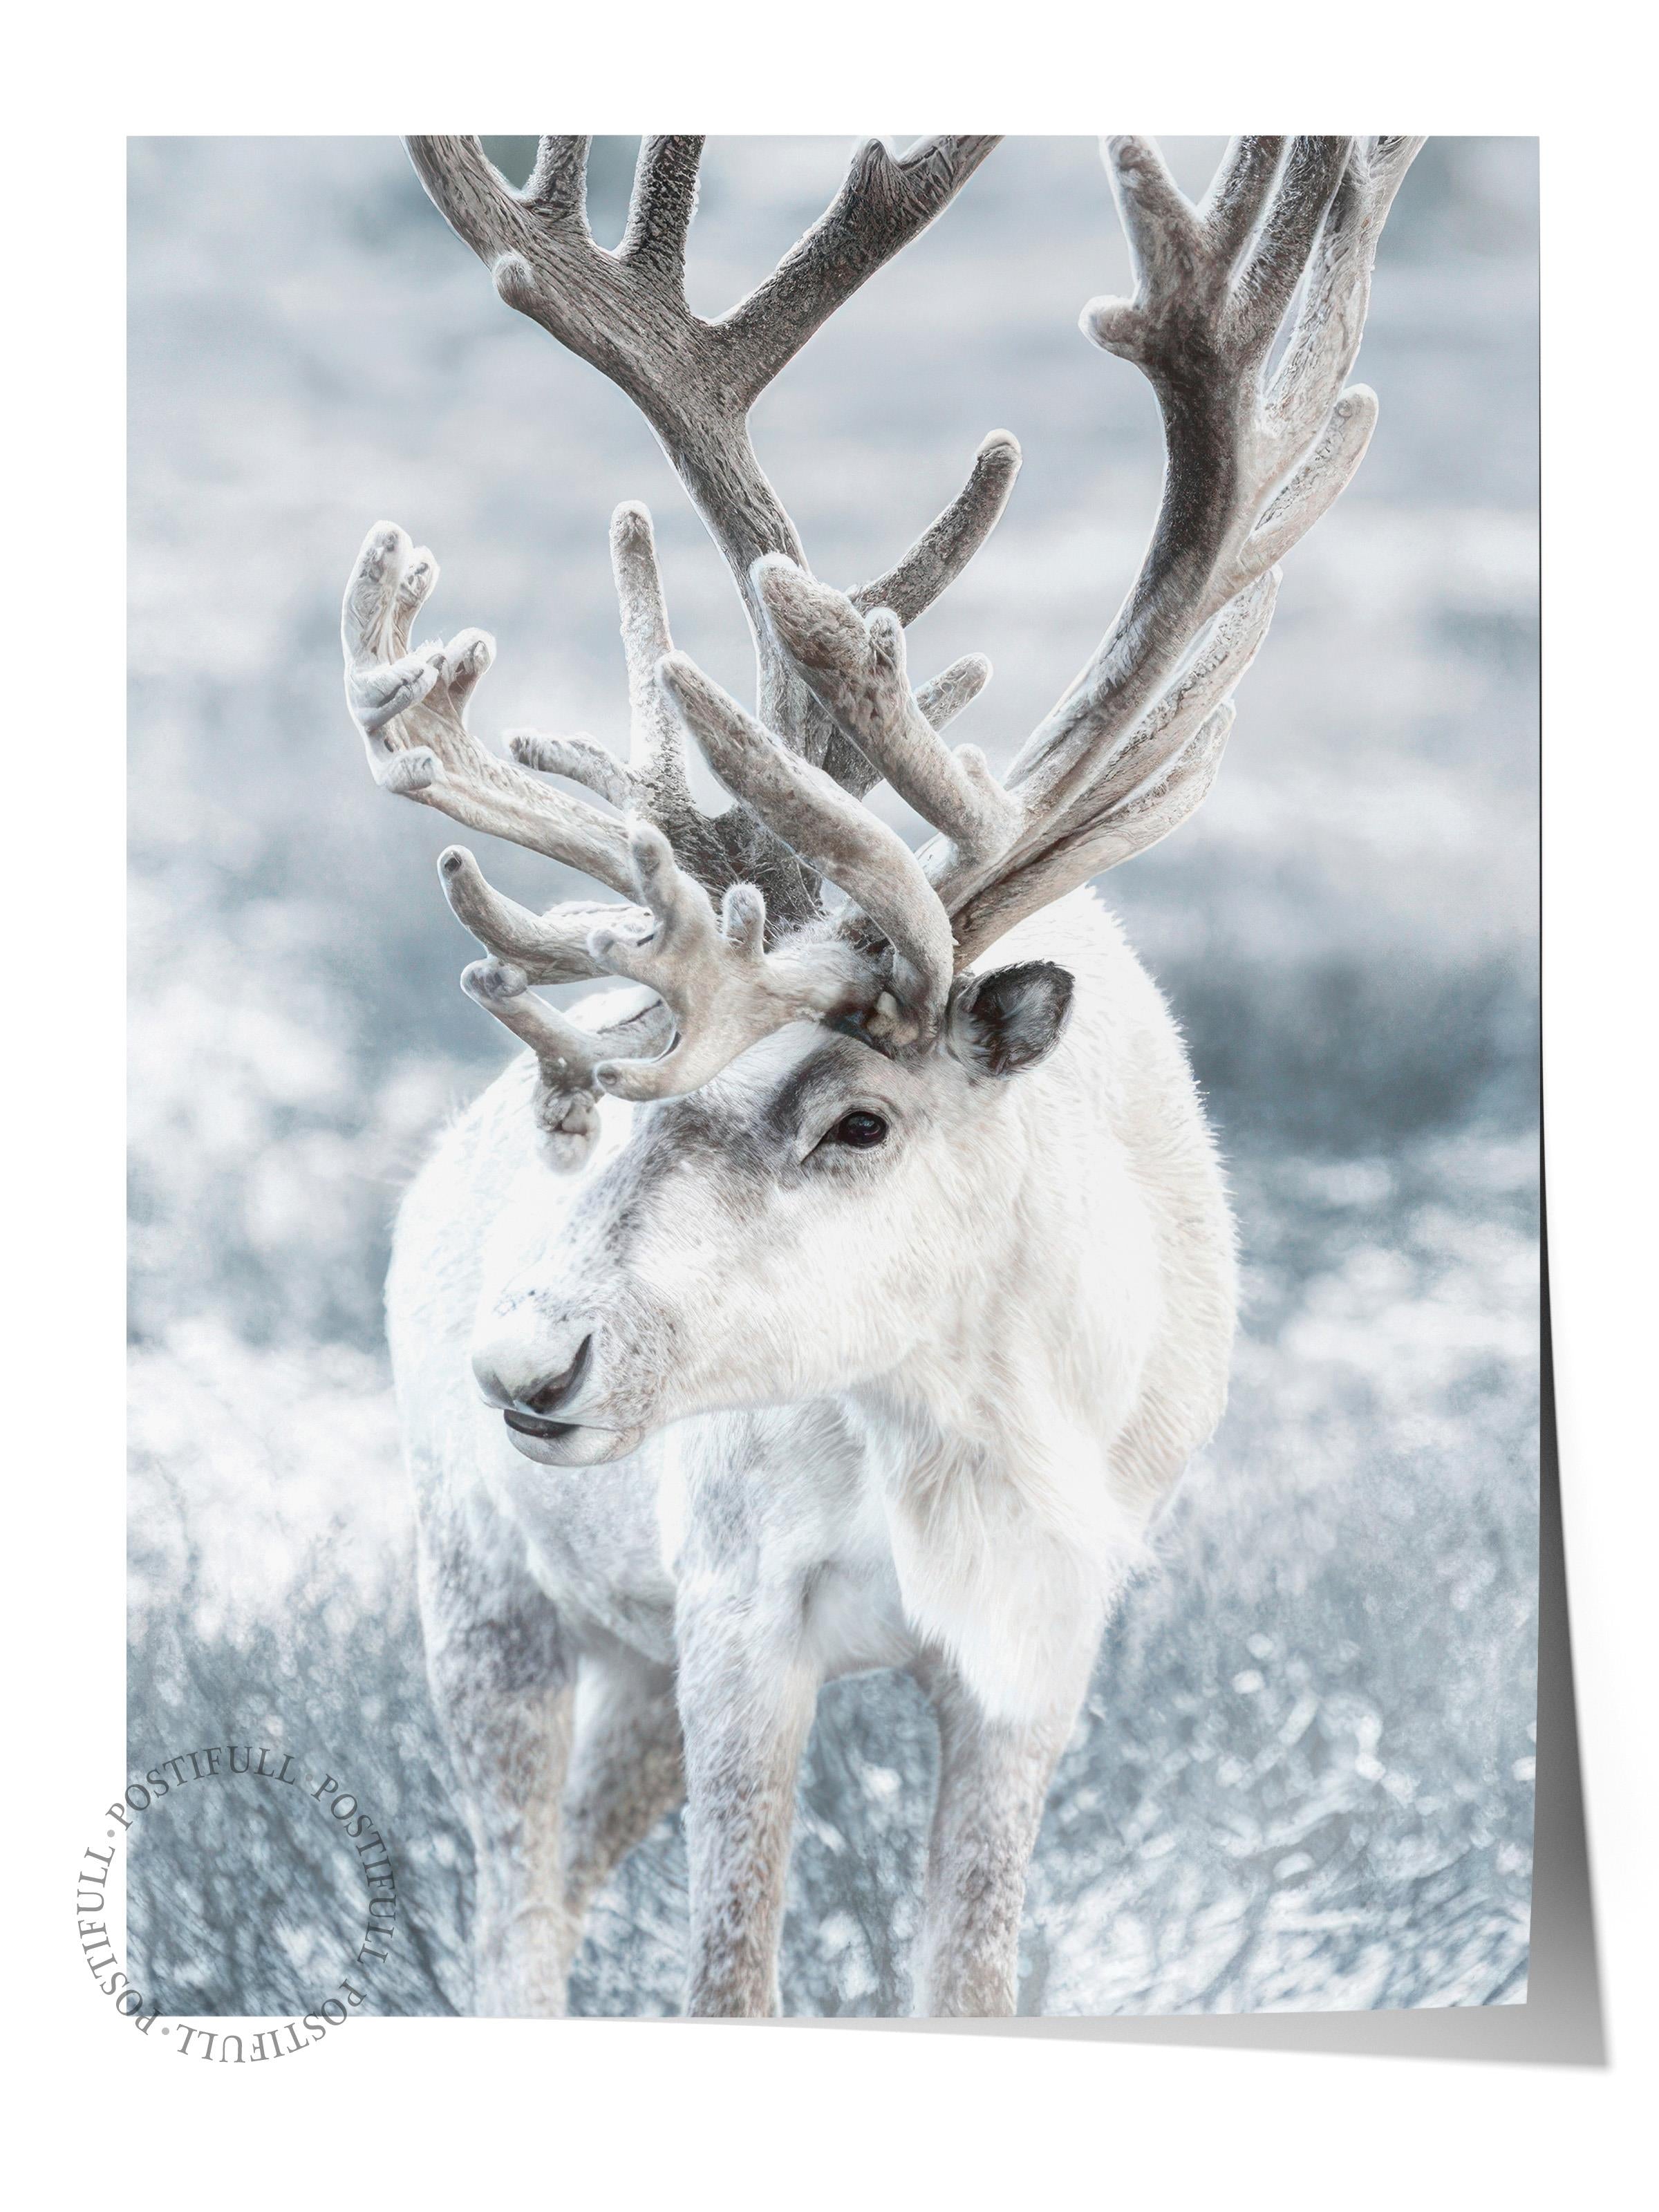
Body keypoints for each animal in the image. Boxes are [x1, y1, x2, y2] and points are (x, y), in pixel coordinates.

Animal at [341, 133, 1420, 2018]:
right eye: (641, 1094)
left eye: (861, 1116)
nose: (527, 1357)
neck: (966, 1433)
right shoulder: (732, 1613)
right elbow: (727, 1977)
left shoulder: (1039, 1654)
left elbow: (967, 1979)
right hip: (483, 1586)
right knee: (511, 1916)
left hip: (618, 1664)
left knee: (563, 1873)